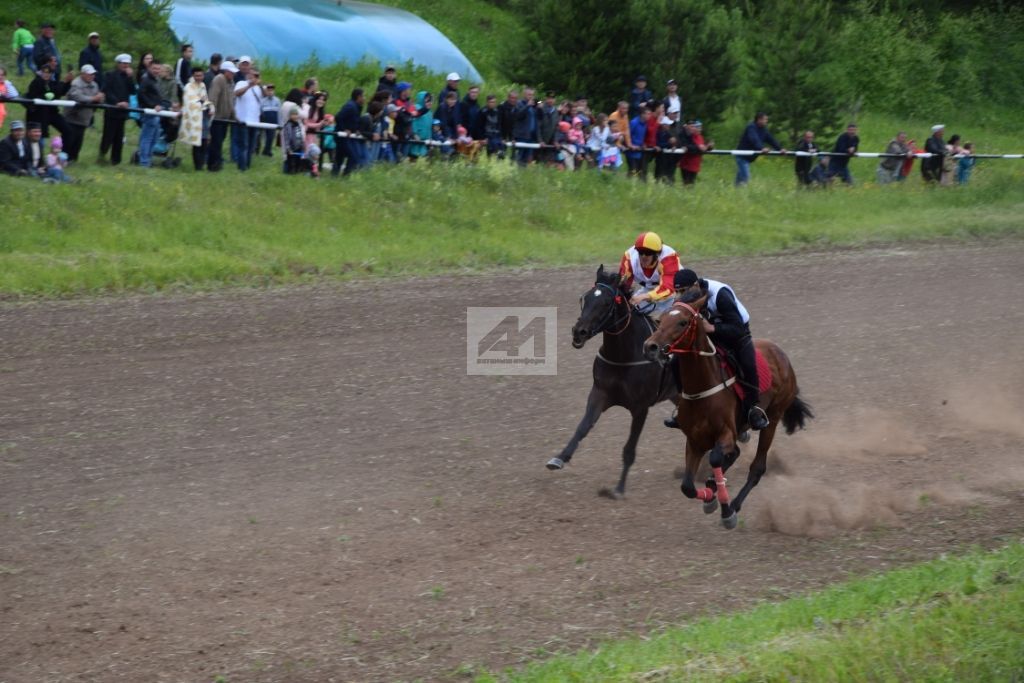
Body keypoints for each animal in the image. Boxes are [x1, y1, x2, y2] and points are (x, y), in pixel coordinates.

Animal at [544, 264, 679, 497]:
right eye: (584, 298)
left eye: (607, 302)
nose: (578, 332)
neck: (624, 356)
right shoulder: (599, 393)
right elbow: (583, 427)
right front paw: (559, 458)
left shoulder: (641, 407)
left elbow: (629, 448)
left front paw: (619, 488)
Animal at [643, 290, 811, 532]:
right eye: (660, 320)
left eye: (683, 322)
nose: (651, 347)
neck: (702, 389)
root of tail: (782, 355)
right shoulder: (694, 440)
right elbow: (687, 486)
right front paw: (709, 496)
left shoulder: (725, 434)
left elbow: (715, 459)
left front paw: (725, 509)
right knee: (735, 455)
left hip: (773, 417)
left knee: (757, 467)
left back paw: (734, 504)